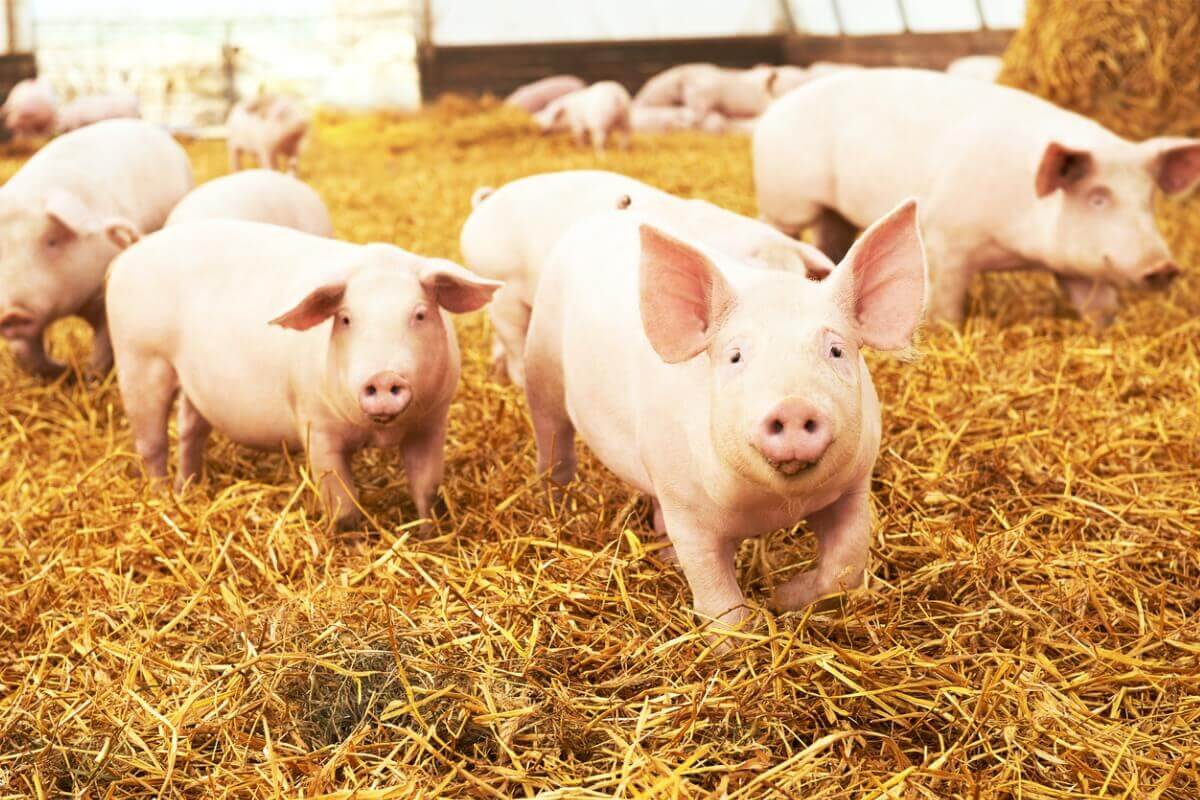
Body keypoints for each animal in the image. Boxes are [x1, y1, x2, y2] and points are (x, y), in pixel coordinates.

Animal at [0, 119, 193, 379]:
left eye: (52, 241)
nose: (9, 313)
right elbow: (26, 353)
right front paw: (61, 369)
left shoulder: (104, 296)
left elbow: (102, 344)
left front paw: (90, 377)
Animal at [106, 220, 501, 527]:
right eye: (346, 319)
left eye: (420, 314)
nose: (383, 376)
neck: (380, 433)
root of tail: (133, 251)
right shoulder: (316, 425)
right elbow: (343, 506)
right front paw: (353, 546)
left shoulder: (432, 422)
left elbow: (427, 489)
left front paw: (428, 535)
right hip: (139, 360)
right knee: (152, 443)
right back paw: (161, 498)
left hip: (193, 381)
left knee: (190, 429)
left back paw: (186, 489)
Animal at [522, 200, 925, 642]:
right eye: (735, 356)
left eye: (836, 350)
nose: (793, 405)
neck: (775, 507)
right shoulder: (688, 512)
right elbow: (719, 600)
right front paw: (739, 637)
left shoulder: (855, 484)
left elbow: (844, 566)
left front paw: (782, 597)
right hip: (541, 369)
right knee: (554, 445)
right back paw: (556, 503)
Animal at [754, 68, 1200, 327]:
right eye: (1098, 197)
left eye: (1149, 198)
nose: (1163, 267)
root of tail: (775, 107)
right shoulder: (946, 239)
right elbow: (946, 303)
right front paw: (943, 329)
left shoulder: (1076, 267)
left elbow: (1099, 305)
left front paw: (1105, 329)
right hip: (783, 201)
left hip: (835, 213)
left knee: (831, 239)